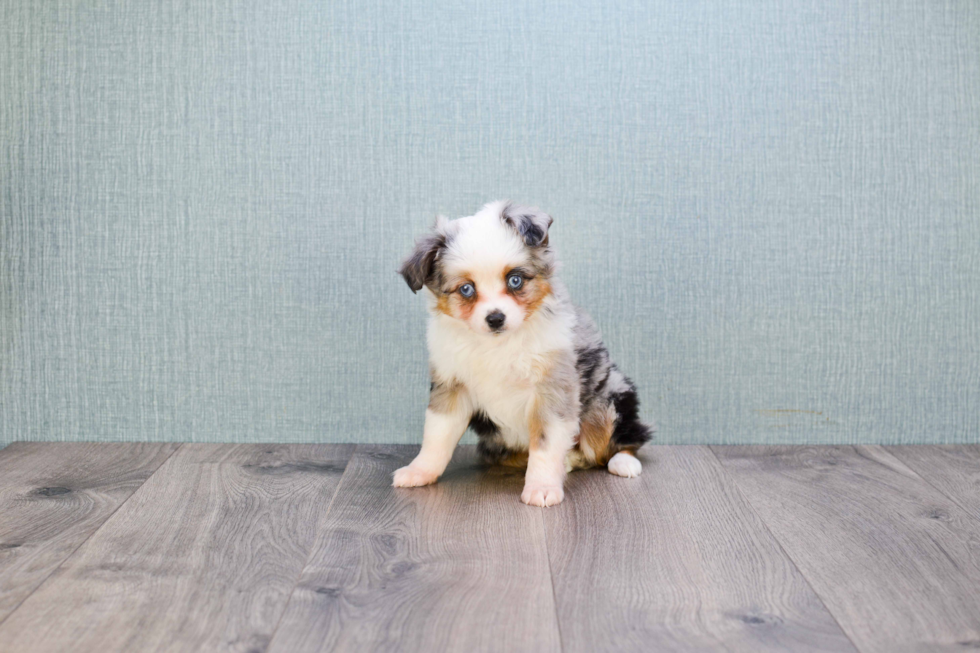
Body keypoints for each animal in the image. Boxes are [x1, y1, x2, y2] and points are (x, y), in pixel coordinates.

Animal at [390, 201, 652, 506]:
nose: (495, 318)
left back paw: (623, 461)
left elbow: (545, 442)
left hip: (607, 401)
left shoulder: (552, 388)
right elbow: (436, 435)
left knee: (620, 441)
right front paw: (419, 471)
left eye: (515, 280)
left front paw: (542, 487)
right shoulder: (451, 385)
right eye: (466, 289)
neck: (497, 344)